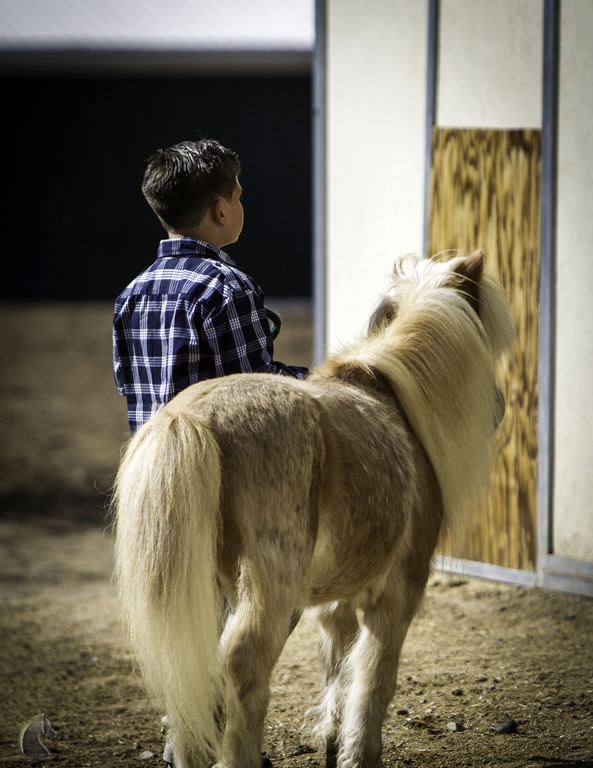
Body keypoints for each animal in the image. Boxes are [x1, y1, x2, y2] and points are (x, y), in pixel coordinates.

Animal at [113, 250, 514, 768]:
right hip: (267, 588)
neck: (395, 401)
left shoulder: (336, 597)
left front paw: (331, 739)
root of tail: (190, 418)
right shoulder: (399, 593)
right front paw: (360, 753)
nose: (500, 408)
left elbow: (337, 664)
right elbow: (374, 679)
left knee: (192, 672)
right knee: (241, 665)